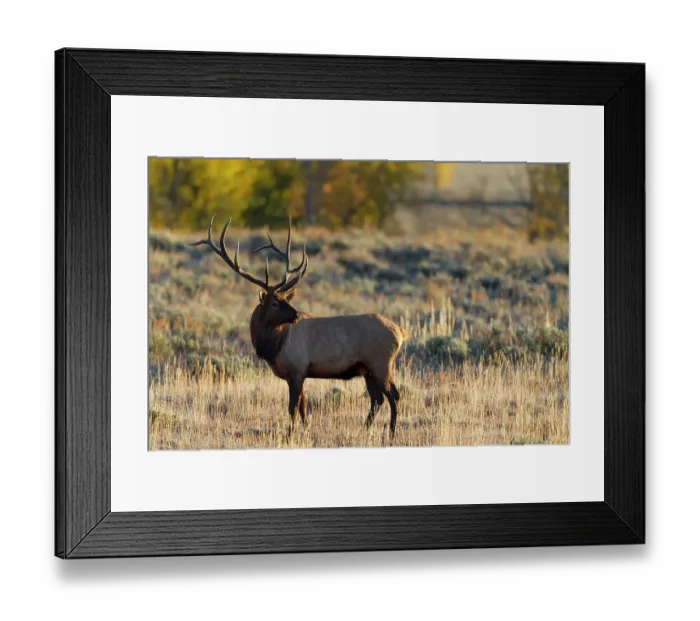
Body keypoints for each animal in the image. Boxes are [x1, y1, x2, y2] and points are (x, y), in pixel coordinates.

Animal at [192, 216, 406, 436]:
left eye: (285, 298)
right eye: (275, 302)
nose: (296, 315)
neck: (274, 346)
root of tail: (400, 332)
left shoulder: (296, 369)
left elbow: (293, 406)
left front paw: (289, 434)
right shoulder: (298, 373)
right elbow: (303, 406)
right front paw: (306, 430)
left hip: (380, 363)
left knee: (393, 395)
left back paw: (391, 432)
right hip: (367, 369)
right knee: (377, 398)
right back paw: (366, 429)